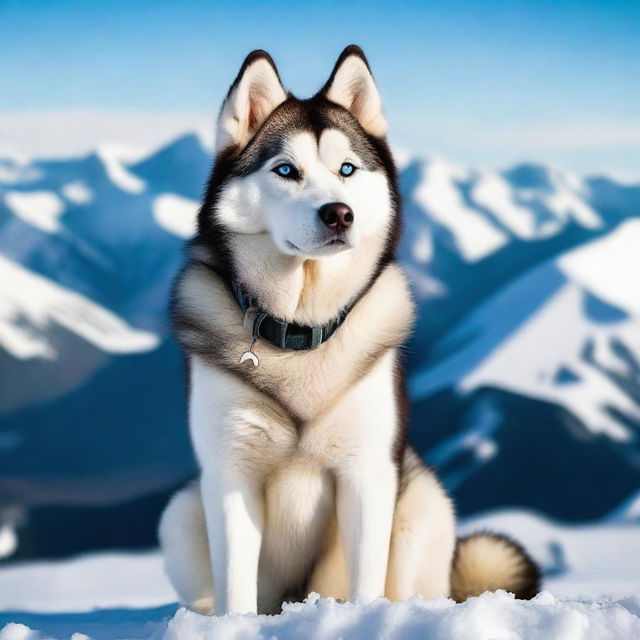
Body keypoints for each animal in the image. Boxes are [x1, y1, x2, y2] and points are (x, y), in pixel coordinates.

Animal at [160, 45, 540, 616]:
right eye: (286, 170)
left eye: (347, 169)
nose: (339, 213)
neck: (300, 329)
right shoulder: (229, 472)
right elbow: (237, 586)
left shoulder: (367, 472)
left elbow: (366, 578)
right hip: (180, 513)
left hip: (423, 500)